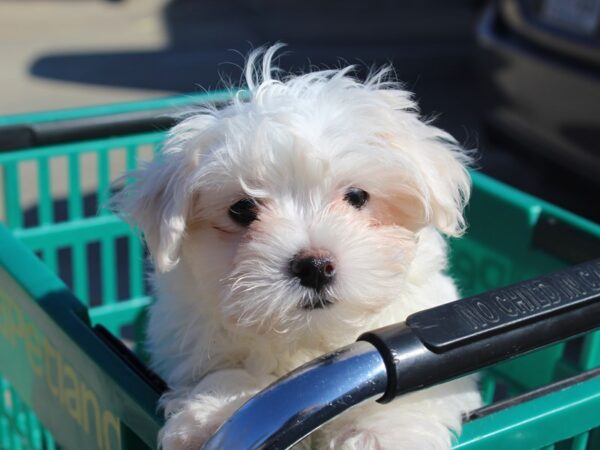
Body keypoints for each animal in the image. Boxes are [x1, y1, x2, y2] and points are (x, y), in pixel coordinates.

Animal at [113, 46, 482, 450]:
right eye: (242, 209)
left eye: (357, 197)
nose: (315, 266)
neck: (311, 338)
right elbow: (229, 373)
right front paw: (222, 414)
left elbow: (417, 386)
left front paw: (381, 432)